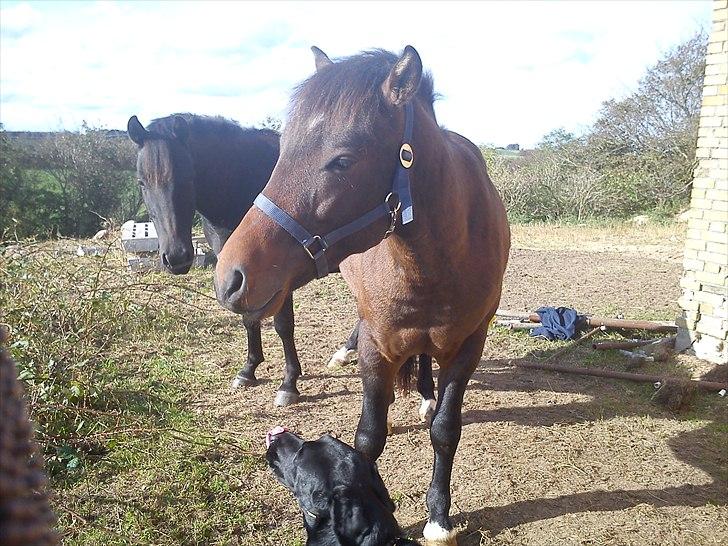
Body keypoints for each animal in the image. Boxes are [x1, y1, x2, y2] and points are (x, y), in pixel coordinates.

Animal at [128, 115, 302, 404]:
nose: (176, 257)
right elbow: (248, 318)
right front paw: (248, 370)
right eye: (142, 182)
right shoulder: (240, 272)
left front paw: (289, 384)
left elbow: (283, 324)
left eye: (188, 177)